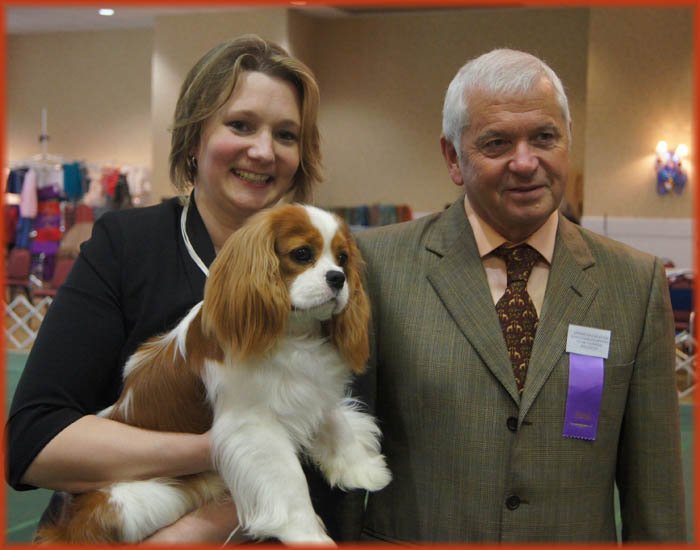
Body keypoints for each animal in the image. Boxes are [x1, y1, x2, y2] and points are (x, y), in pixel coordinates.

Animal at [37, 205, 394, 544]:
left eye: (343, 258)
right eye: (302, 254)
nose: (338, 278)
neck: (294, 332)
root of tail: (69, 520)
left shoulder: (310, 388)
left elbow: (336, 423)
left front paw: (361, 469)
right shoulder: (254, 428)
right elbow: (290, 481)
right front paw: (310, 535)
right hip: (133, 504)